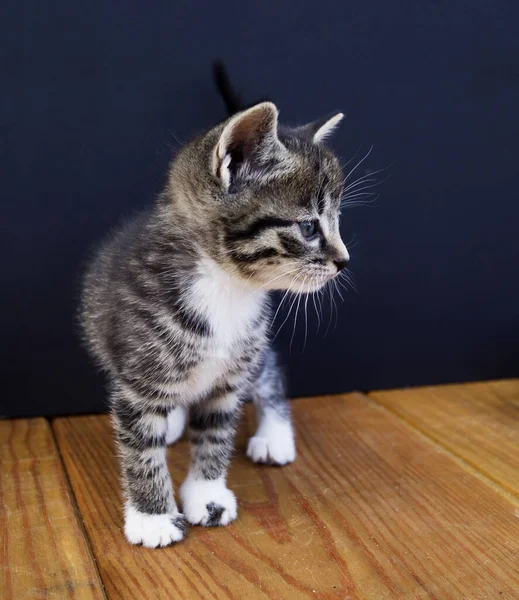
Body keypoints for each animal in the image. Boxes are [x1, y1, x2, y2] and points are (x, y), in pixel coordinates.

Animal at [80, 67, 350, 548]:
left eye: (338, 222)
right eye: (308, 227)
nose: (345, 261)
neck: (228, 290)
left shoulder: (231, 376)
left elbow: (216, 433)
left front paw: (206, 494)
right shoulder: (136, 377)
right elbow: (139, 447)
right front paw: (152, 515)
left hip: (252, 353)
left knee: (269, 371)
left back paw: (274, 434)